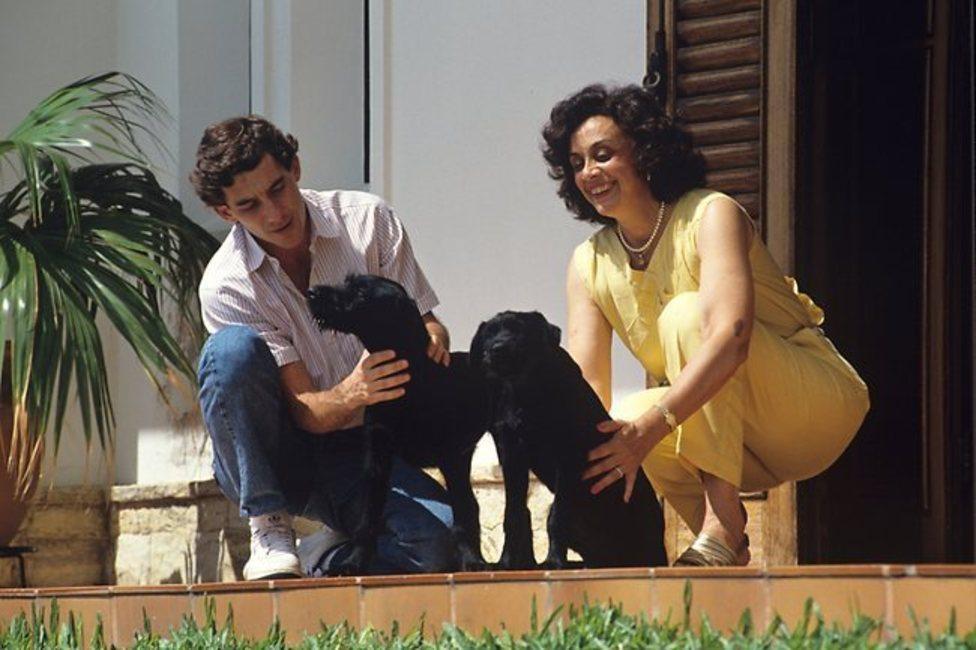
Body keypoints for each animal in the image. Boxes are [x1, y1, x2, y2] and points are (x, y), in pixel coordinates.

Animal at [307, 274, 490, 574]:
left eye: (361, 293)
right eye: (347, 281)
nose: (311, 292)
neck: (414, 378)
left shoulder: (454, 459)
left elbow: (465, 511)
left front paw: (472, 561)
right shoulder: (378, 458)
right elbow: (368, 517)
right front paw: (354, 562)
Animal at [470, 310, 668, 569]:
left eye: (519, 329)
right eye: (488, 334)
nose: (497, 348)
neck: (526, 388)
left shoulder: (567, 457)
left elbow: (557, 517)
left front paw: (553, 561)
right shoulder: (511, 455)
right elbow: (513, 513)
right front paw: (507, 562)